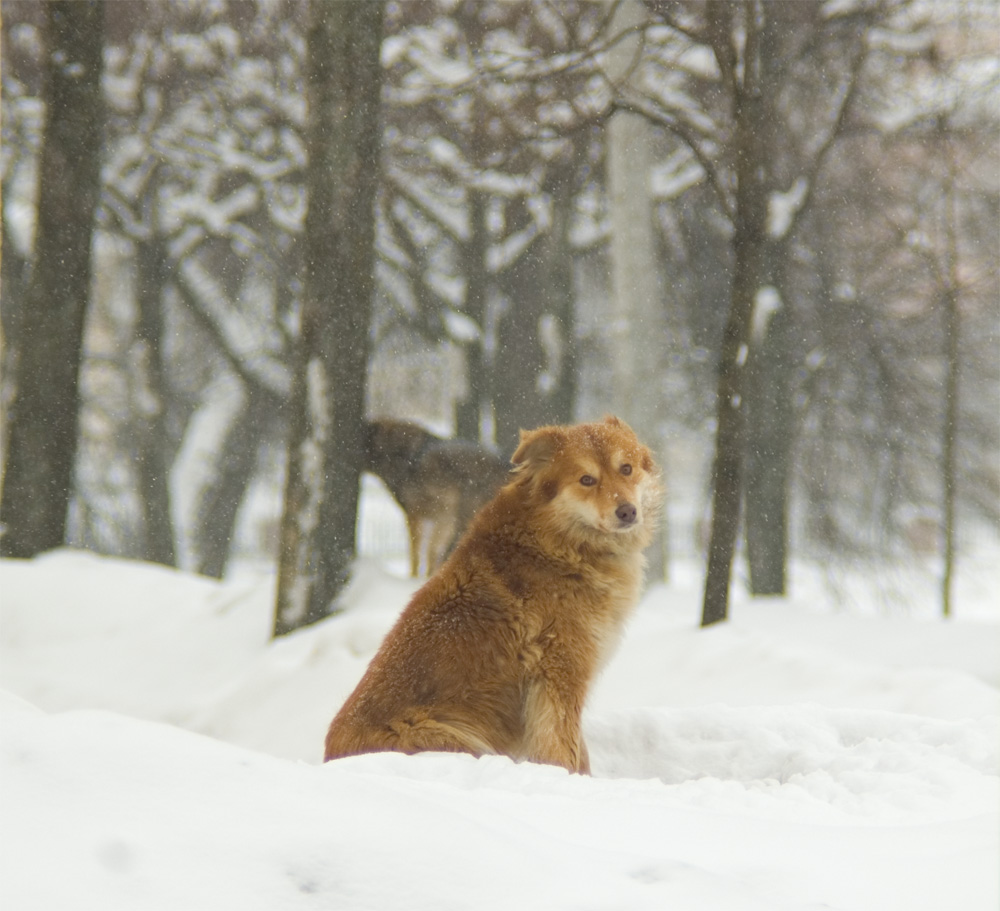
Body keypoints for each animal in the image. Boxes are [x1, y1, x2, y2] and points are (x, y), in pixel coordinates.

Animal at [324, 416, 660, 772]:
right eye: (586, 480)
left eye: (626, 469)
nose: (627, 511)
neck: (560, 543)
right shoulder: (560, 677)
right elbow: (564, 749)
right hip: (454, 734)